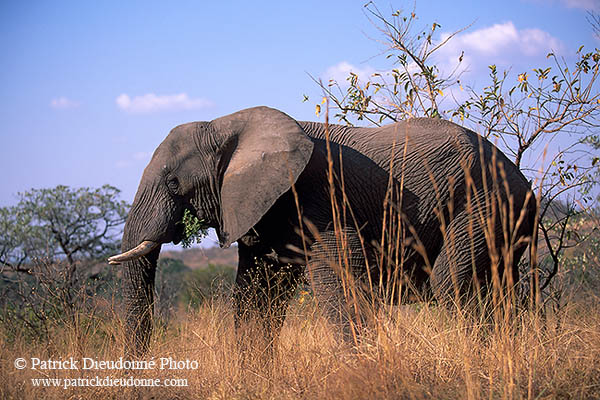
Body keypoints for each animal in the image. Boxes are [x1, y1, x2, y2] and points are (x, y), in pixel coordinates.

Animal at [110, 104, 536, 352]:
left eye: (173, 183)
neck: (227, 123)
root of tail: (523, 180)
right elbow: (256, 295)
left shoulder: (321, 200)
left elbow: (341, 281)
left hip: (485, 203)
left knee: (453, 283)